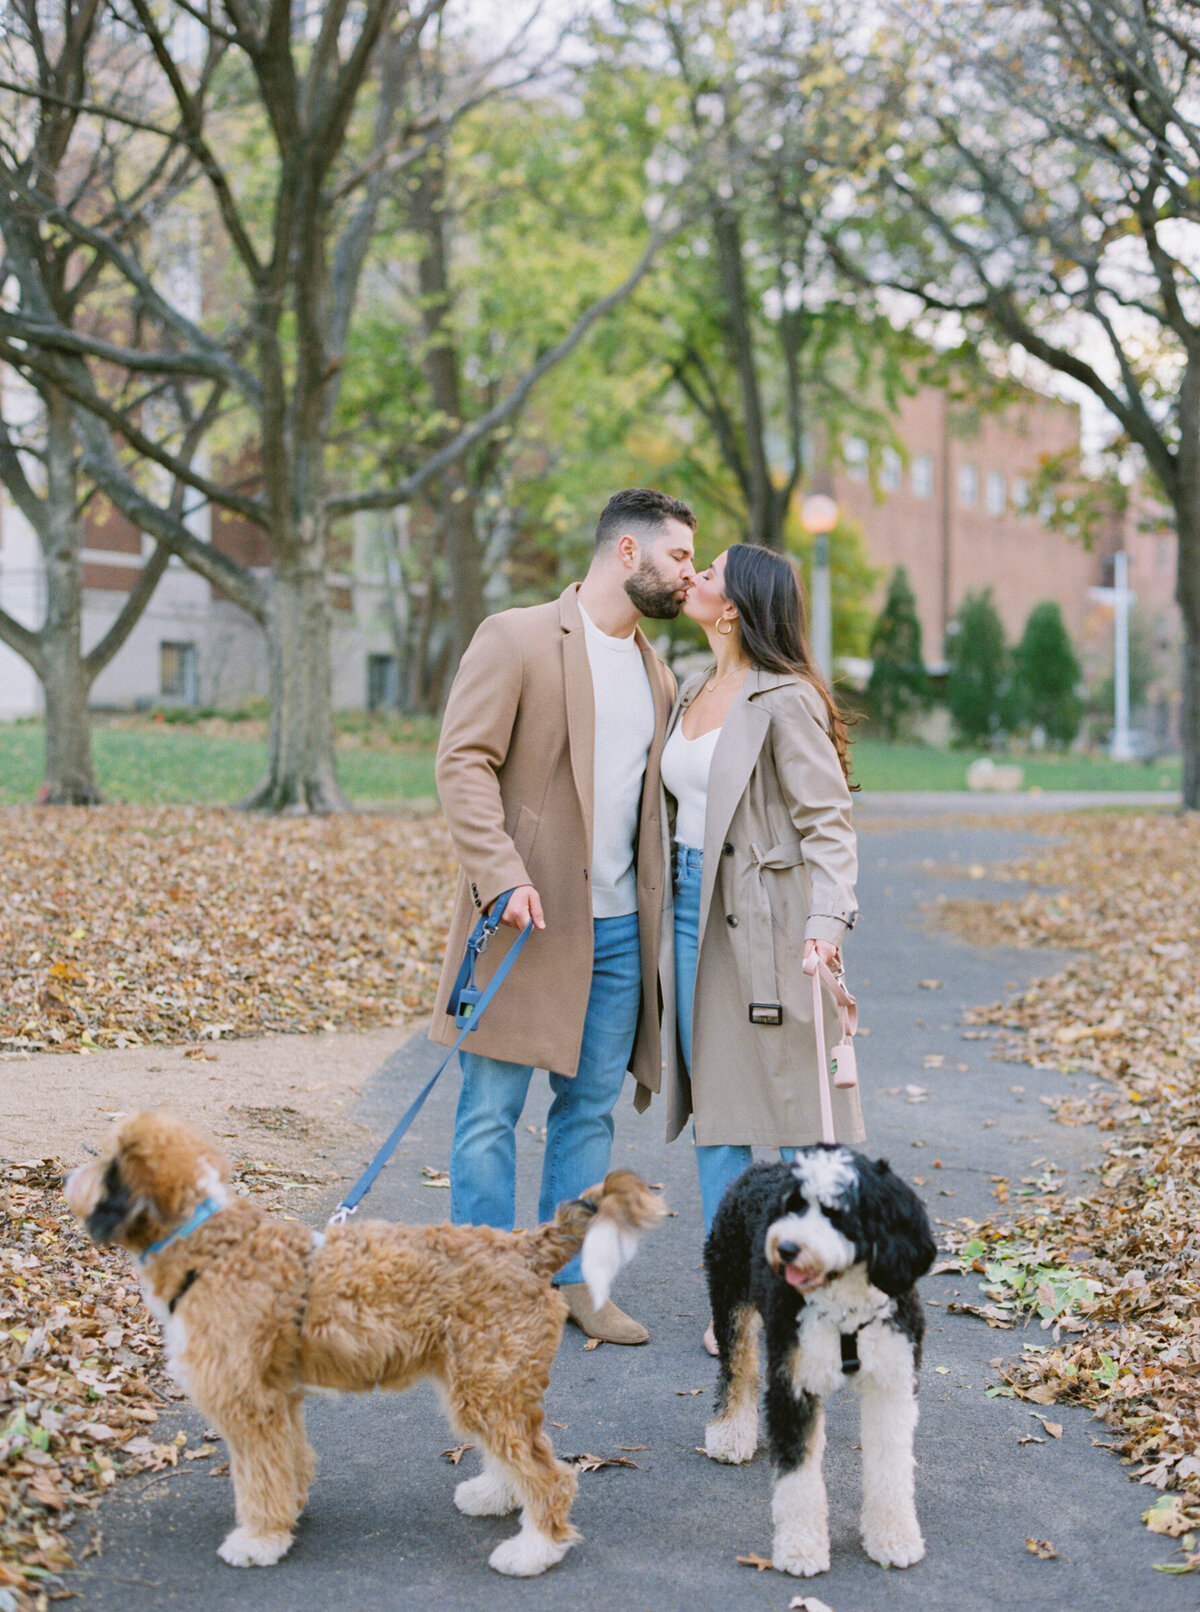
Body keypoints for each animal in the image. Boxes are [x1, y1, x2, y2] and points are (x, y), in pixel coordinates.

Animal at [703, 1147, 935, 1573]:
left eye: (834, 1211)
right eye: (793, 1206)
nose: (786, 1249)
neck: (846, 1305)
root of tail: (758, 1169)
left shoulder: (892, 1385)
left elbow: (891, 1466)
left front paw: (894, 1537)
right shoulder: (794, 1385)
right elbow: (797, 1477)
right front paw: (800, 1547)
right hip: (732, 1299)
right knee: (738, 1368)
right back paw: (730, 1433)